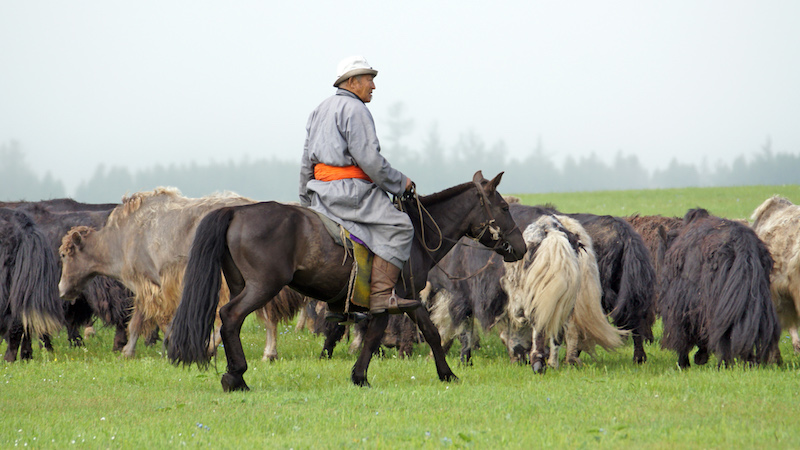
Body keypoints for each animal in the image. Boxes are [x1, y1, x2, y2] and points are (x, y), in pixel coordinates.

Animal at [166, 171, 528, 390]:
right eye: (503, 207)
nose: (521, 248)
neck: (418, 234)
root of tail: (236, 212)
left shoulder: (404, 300)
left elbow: (424, 333)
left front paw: (445, 373)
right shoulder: (395, 298)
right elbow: (385, 335)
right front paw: (362, 376)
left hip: (243, 285)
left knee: (229, 321)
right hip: (261, 287)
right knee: (230, 317)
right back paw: (236, 376)